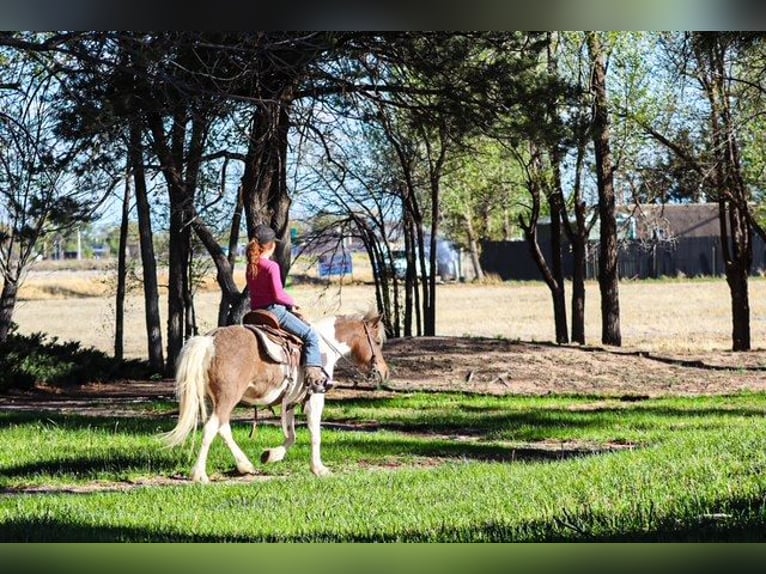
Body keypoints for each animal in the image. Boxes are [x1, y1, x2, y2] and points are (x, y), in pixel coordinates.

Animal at [160, 309, 388, 483]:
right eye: (377, 342)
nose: (384, 372)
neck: (324, 347)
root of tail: (210, 340)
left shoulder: (291, 401)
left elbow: (292, 435)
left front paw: (270, 455)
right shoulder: (315, 397)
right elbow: (315, 433)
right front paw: (319, 468)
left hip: (215, 399)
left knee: (222, 428)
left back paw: (245, 465)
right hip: (227, 397)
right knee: (211, 428)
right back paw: (200, 474)